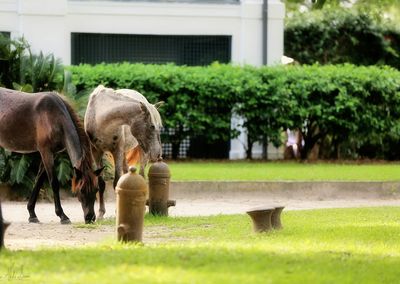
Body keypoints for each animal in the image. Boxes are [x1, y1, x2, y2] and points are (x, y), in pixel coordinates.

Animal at [0, 87, 102, 224]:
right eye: (81, 190)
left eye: (96, 190)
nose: (90, 217)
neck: (54, 116)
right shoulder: (45, 152)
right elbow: (54, 183)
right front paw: (62, 215)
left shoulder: (50, 154)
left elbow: (38, 181)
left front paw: (32, 214)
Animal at [84, 85, 162, 220]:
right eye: (152, 126)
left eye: (159, 127)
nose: (157, 154)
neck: (100, 117)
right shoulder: (96, 152)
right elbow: (101, 183)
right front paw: (101, 213)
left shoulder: (118, 151)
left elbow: (117, 182)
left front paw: (118, 212)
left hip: (141, 151)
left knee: (141, 175)